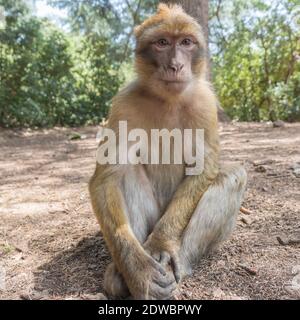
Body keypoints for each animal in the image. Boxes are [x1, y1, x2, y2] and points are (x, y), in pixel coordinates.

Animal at [88, 3, 246, 300]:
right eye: (162, 43)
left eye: (186, 42)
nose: (176, 65)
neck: (169, 100)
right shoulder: (124, 104)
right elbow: (106, 179)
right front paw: (138, 271)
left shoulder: (205, 103)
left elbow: (205, 169)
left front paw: (161, 244)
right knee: (126, 172)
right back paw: (121, 275)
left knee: (233, 174)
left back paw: (178, 262)